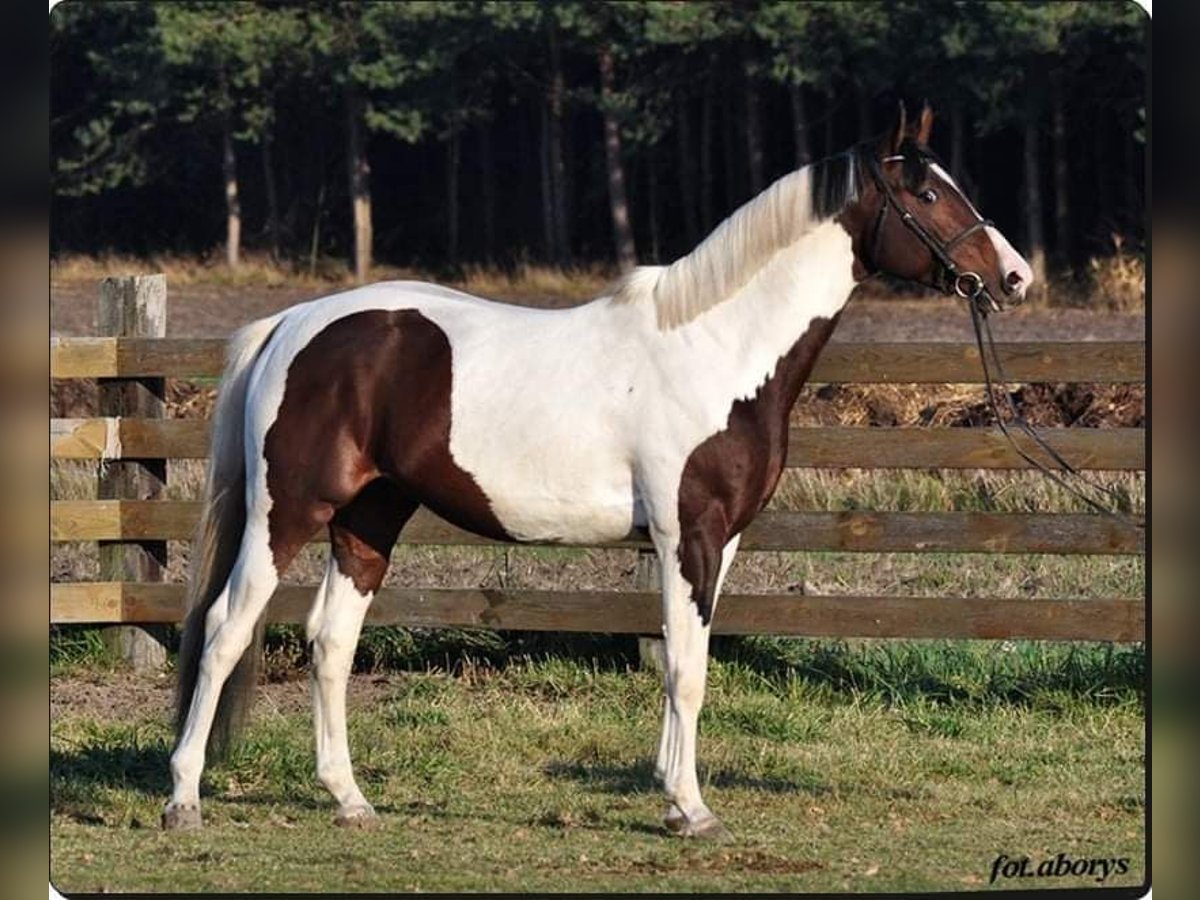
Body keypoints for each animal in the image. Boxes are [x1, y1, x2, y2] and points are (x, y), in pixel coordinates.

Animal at [164, 103, 1036, 840]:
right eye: (927, 191)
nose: (1015, 278)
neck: (717, 349)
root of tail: (294, 323)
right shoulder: (689, 536)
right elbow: (685, 669)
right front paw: (692, 808)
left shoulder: (720, 544)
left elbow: (690, 660)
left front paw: (676, 800)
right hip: (287, 514)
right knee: (225, 629)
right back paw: (184, 798)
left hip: (370, 518)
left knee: (330, 642)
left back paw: (348, 798)